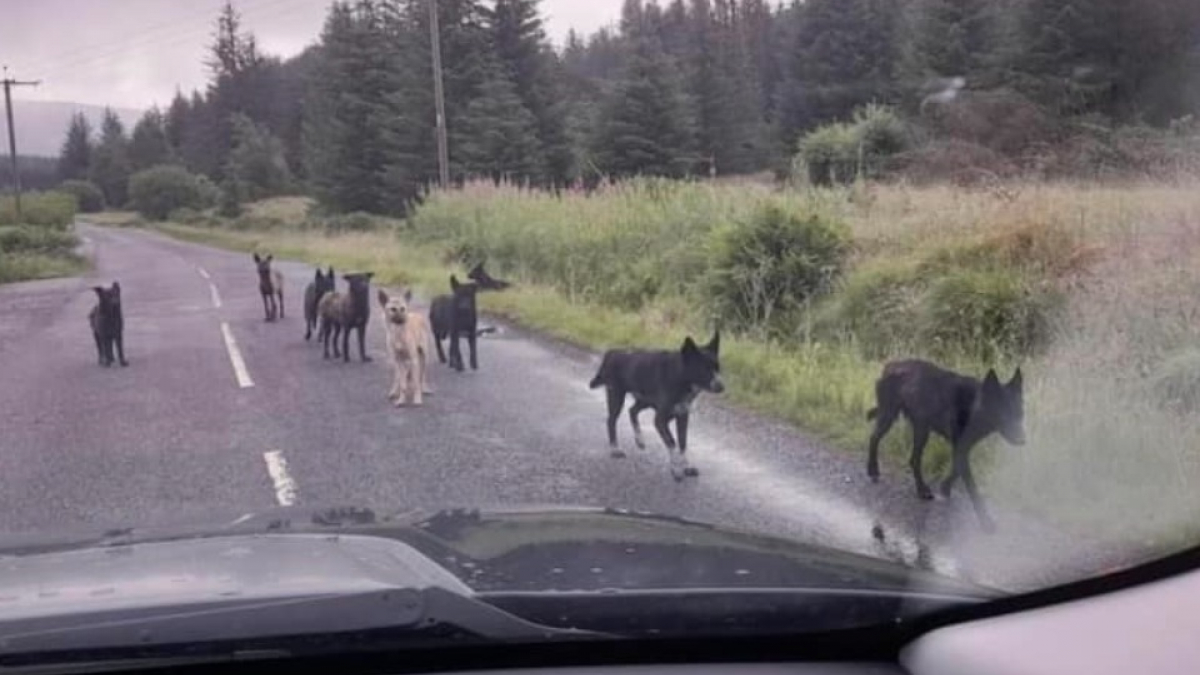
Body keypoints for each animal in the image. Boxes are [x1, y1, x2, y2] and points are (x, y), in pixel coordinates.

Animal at [588, 329, 720, 478]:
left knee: (632, 411)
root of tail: (612, 352)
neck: (680, 376)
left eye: (718, 368)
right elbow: (672, 441)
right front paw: (676, 468)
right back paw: (615, 449)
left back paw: (639, 439)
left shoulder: (682, 416)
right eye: (704, 369)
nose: (721, 386)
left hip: (645, 400)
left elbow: (682, 443)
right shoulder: (660, 420)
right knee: (611, 420)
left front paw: (686, 466)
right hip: (617, 396)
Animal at [868, 357, 1027, 530]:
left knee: (913, 459)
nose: (1023, 440)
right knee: (874, 438)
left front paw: (945, 488)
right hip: (890, 416)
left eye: (1020, 414)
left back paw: (922, 490)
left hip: (922, 429)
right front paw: (985, 520)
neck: (974, 407)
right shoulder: (960, 448)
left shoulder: (963, 448)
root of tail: (891, 365)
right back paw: (873, 470)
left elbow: (956, 470)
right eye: (1003, 415)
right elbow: (973, 488)